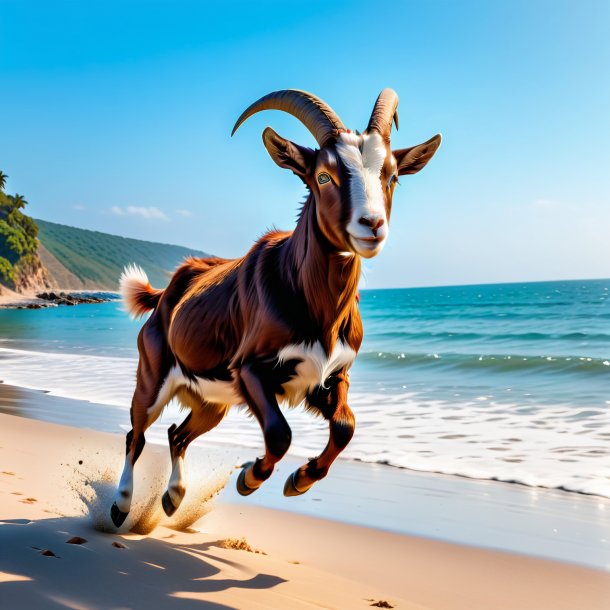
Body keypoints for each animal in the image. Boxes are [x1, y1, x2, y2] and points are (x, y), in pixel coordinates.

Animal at [109, 88, 440, 524]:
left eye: (392, 176)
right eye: (323, 176)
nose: (372, 226)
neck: (311, 301)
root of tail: (166, 293)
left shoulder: (330, 375)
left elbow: (345, 427)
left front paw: (299, 479)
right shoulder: (250, 369)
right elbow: (280, 433)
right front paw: (249, 478)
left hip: (212, 401)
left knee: (176, 434)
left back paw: (174, 498)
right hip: (153, 376)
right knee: (137, 433)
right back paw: (120, 505)